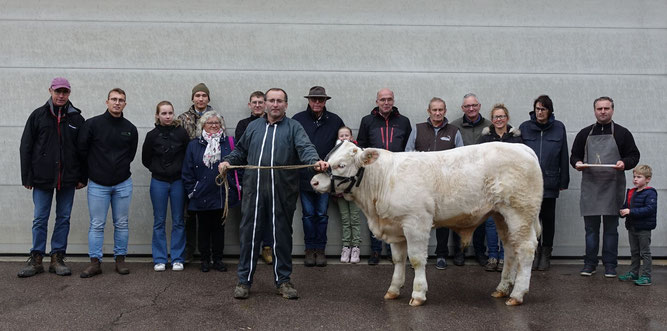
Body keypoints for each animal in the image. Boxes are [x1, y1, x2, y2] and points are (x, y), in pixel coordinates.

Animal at [312, 140, 544, 306]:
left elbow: (416, 259)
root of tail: (521, 147)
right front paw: (393, 290)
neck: (384, 180)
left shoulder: (416, 223)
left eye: (341, 165)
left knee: (525, 249)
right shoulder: (395, 226)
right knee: (510, 249)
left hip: (520, 213)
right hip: (501, 215)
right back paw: (502, 289)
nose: (313, 181)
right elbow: (398, 260)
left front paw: (418, 293)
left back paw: (517, 294)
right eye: (327, 158)